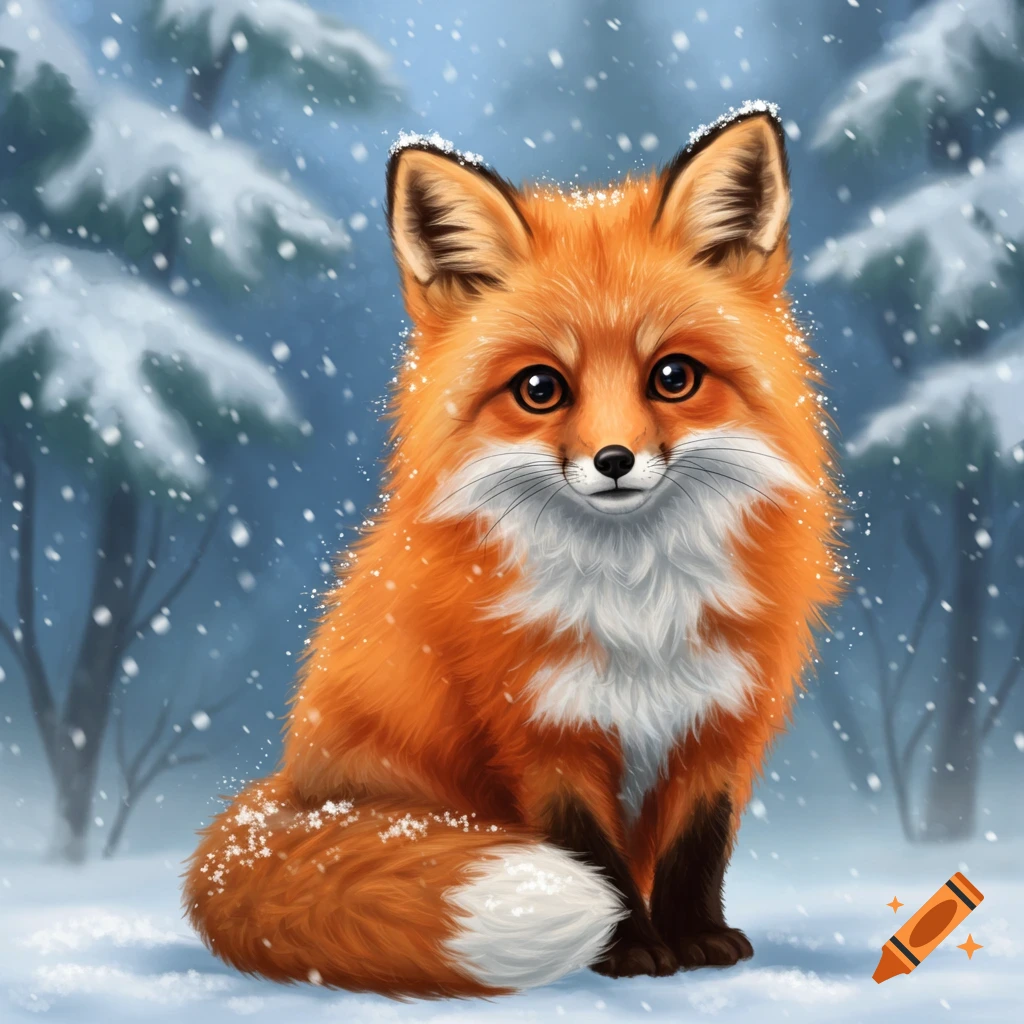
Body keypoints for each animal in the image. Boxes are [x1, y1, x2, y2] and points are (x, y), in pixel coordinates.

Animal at [183, 104, 841, 998]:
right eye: (540, 389)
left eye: (673, 377)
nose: (613, 461)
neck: (637, 601)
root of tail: (289, 786)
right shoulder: (538, 726)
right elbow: (589, 854)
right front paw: (629, 952)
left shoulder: (722, 718)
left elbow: (697, 849)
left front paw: (697, 938)